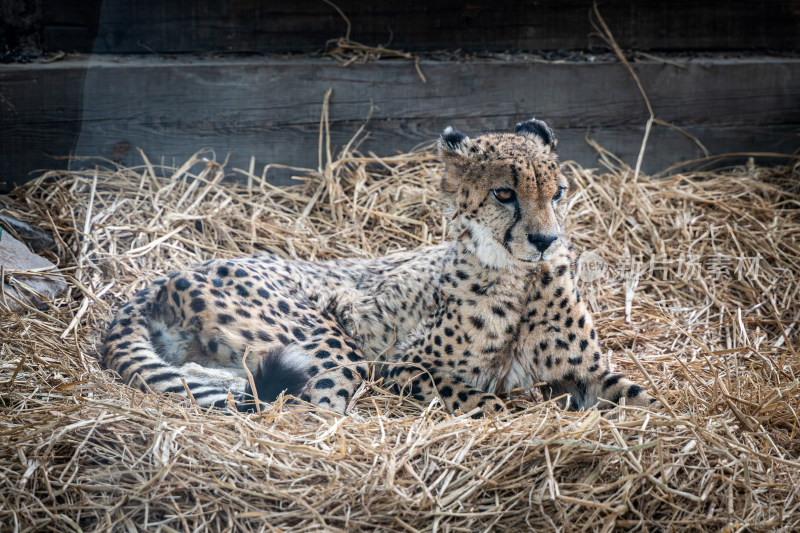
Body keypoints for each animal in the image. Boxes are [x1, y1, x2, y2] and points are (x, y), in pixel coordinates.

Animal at [103, 119, 656, 416]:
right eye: (505, 193)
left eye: (556, 192)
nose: (545, 240)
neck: (519, 281)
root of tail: (157, 281)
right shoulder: (398, 365)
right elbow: (486, 400)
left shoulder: (588, 373)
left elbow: (645, 399)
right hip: (333, 346)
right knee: (300, 410)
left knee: (216, 379)